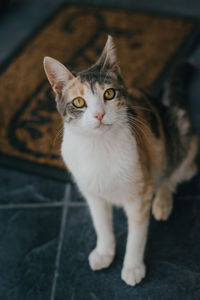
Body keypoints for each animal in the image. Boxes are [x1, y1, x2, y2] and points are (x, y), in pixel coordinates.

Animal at [43, 35, 198, 286]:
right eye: (78, 102)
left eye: (109, 94)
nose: (99, 114)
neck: (99, 146)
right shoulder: (92, 194)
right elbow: (102, 225)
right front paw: (104, 252)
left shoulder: (140, 195)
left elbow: (137, 235)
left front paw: (133, 267)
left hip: (183, 138)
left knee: (171, 174)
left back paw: (162, 202)